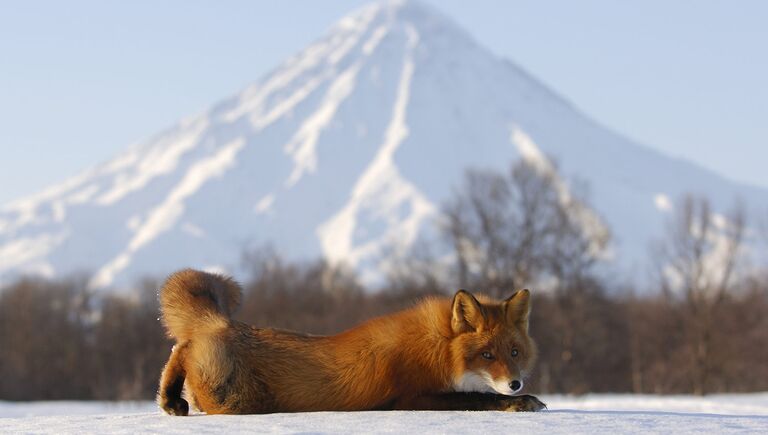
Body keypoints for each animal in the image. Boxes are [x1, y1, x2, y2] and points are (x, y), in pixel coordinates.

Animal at [156, 270, 544, 416]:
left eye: (514, 352)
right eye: (486, 354)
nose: (515, 383)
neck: (436, 348)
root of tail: (223, 324)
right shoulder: (410, 398)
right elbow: (479, 398)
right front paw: (520, 401)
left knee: (179, 347)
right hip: (233, 397)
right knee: (183, 350)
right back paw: (171, 398)